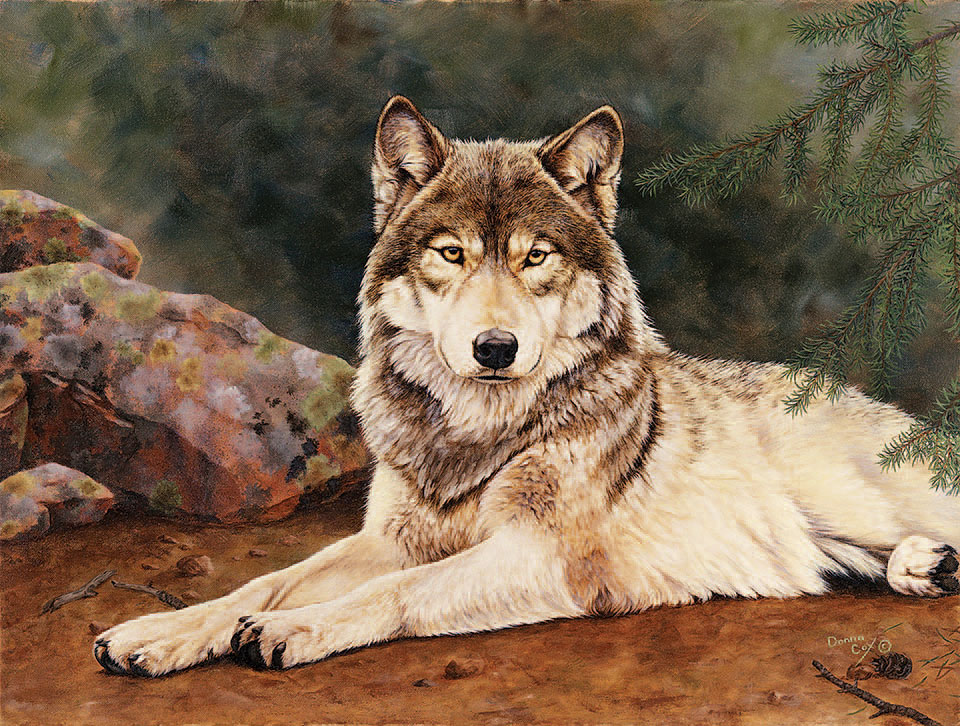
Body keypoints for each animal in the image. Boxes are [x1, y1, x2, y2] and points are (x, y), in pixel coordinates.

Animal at [94, 96, 960, 677]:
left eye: (534, 257)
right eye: (451, 253)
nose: (495, 347)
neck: (478, 433)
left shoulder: (540, 558)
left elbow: (394, 592)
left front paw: (293, 631)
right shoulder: (392, 536)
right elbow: (269, 581)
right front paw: (157, 633)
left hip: (853, 494)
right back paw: (924, 568)